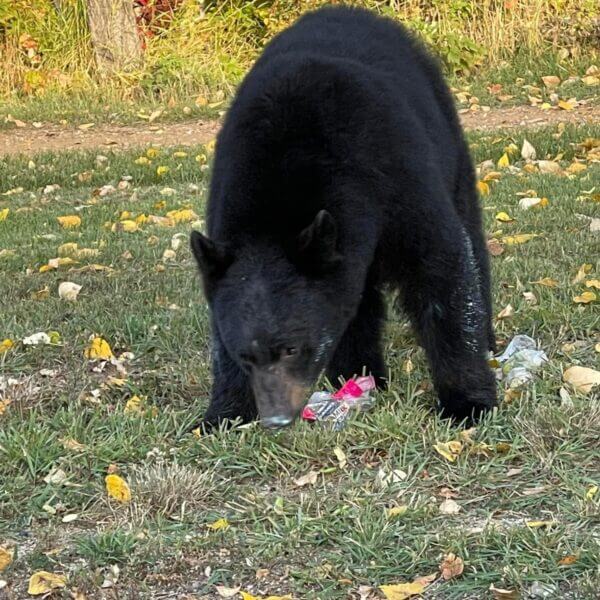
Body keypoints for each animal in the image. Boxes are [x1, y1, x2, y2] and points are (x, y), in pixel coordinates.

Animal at [192, 4, 496, 426]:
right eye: (245, 355)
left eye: (292, 348)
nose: (276, 419)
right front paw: (223, 412)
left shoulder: (394, 176)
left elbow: (441, 266)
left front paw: (467, 402)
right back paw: (359, 374)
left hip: (447, 138)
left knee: (470, 234)